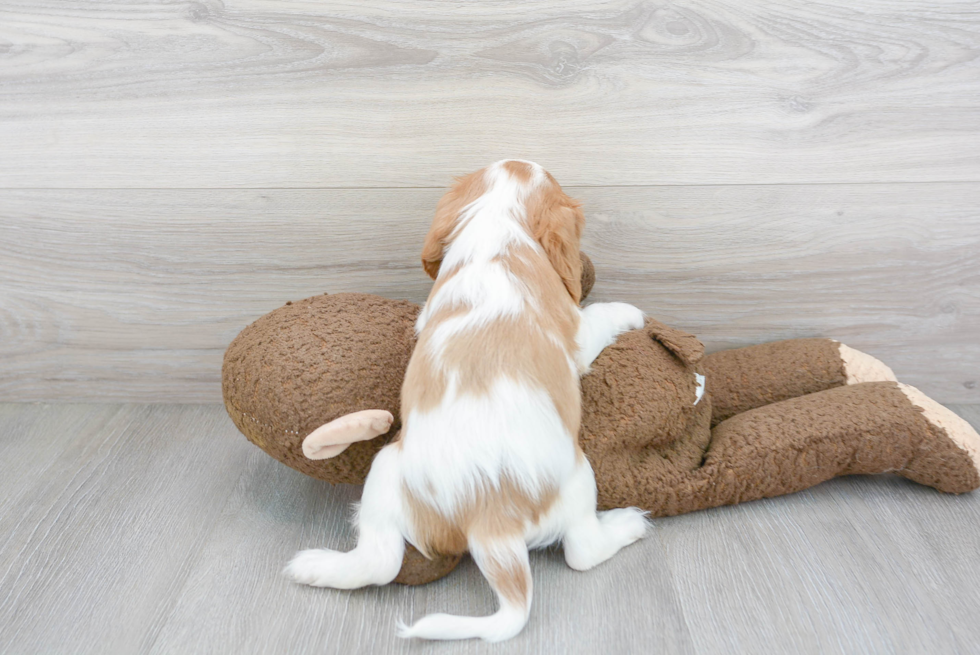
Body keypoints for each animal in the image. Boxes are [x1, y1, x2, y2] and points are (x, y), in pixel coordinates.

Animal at [286, 161, 652, 644]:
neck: (497, 225)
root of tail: (489, 516)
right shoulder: (576, 335)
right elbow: (599, 316)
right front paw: (630, 312)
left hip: (386, 469)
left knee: (379, 561)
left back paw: (313, 566)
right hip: (579, 478)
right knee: (582, 551)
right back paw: (629, 523)